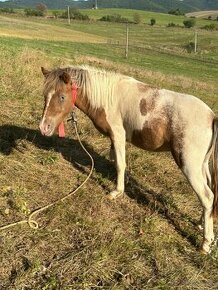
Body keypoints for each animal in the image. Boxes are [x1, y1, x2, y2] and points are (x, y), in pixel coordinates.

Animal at [39, 64, 218, 253]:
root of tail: (211, 116)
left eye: (62, 96)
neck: (107, 96)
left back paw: (206, 243)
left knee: (207, 196)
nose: (44, 127)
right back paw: (201, 223)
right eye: (45, 95)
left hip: (189, 165)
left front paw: (116, 192)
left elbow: (120, 164)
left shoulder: (118, 135)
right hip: (202, 165)